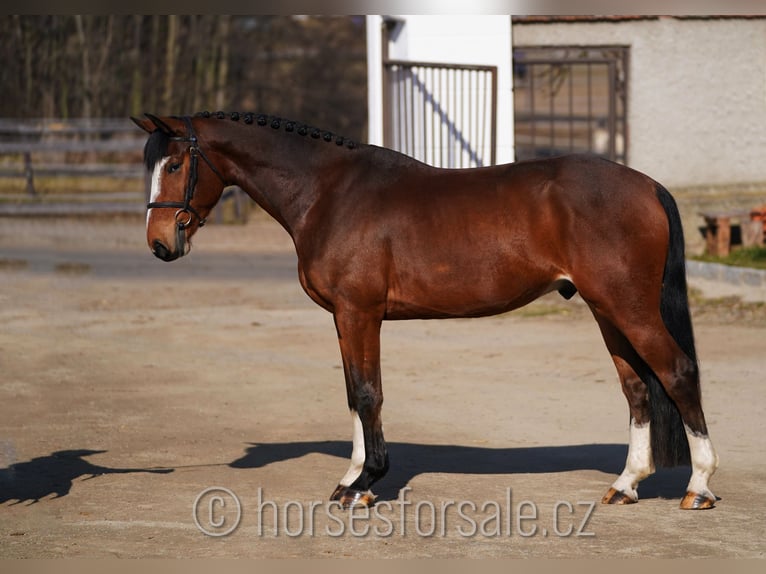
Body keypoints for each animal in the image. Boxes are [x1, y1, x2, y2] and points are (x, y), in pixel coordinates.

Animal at [132, 112, 720, 512]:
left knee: (677, 372)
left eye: (176, 163)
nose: (160, 243)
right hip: (605, 308)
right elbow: (353, 395)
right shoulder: (344, 318)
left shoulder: (360, 312)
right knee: (637, 387)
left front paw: (367, 484)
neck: (329, 192)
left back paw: (699, 487)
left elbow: (368, 394)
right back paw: (626, 485)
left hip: (629, 306)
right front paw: (351, 482)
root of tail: (646, 185)